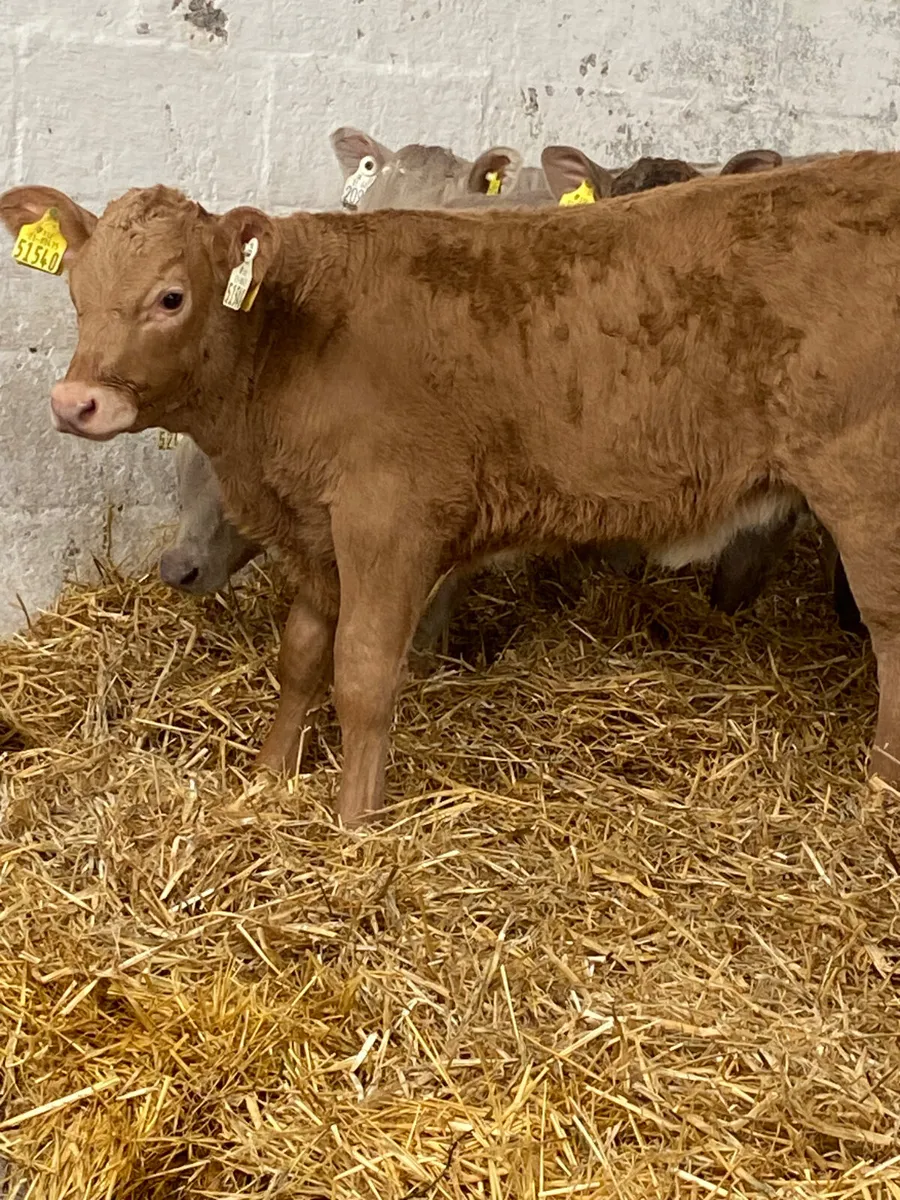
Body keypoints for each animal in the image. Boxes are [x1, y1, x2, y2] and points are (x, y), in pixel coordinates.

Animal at [3, 151, 891, 825]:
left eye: (171, 296)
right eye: (76, 293)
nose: (75, 403)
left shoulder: (389, 519)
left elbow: (364, 671)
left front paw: (354, 822)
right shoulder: (318, 529)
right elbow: (302, 652)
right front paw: (268, 777)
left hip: (865, 492)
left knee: (890, 633)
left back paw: (880, 789)